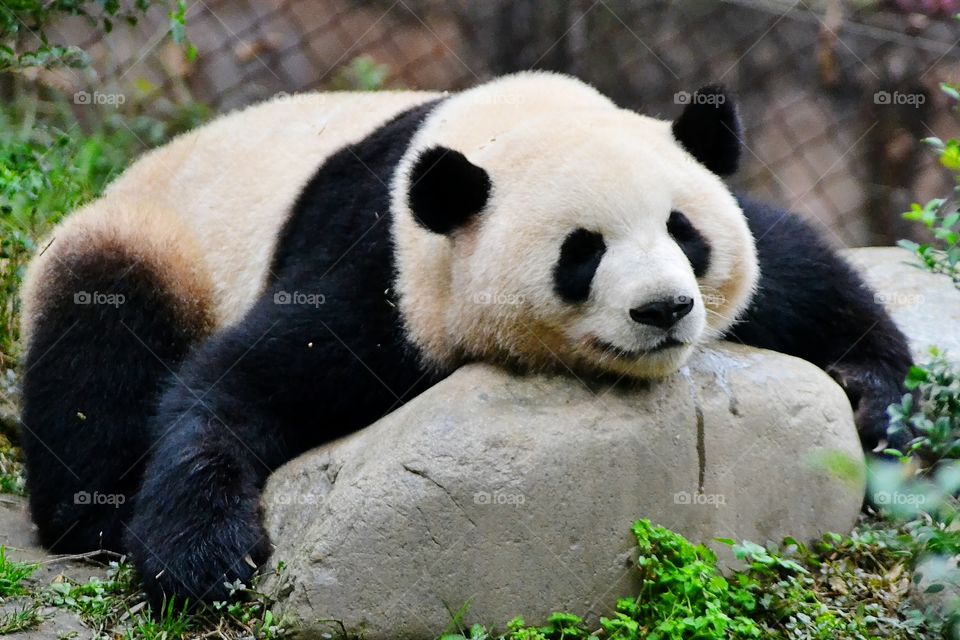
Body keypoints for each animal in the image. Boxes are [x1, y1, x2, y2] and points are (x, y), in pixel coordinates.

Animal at [19, 72, 911, 606]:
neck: (498, 129)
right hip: (152, 240)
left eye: (683, 232)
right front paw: (203, 554)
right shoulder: (383, 272)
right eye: (582, 252)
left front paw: (877, 407)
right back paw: (96, 512)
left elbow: (800, 271)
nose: (664, 310)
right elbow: (241, 385)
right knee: (100, 345)